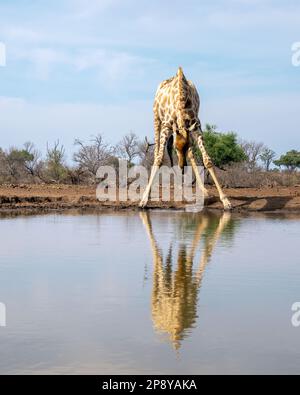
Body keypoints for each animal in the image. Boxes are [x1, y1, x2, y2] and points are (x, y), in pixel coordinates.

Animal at [139, 66, 232, 212]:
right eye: (175, 147)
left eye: (186, 145)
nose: (182, 166)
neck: (182, 101)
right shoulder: (167, 126)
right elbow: (159, 159)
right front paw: (143, 200)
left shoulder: (196, 127)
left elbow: (207, 160)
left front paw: (225, 201)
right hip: (156, 120)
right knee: (156, 152)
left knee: (191, 155)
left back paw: (203, 190)